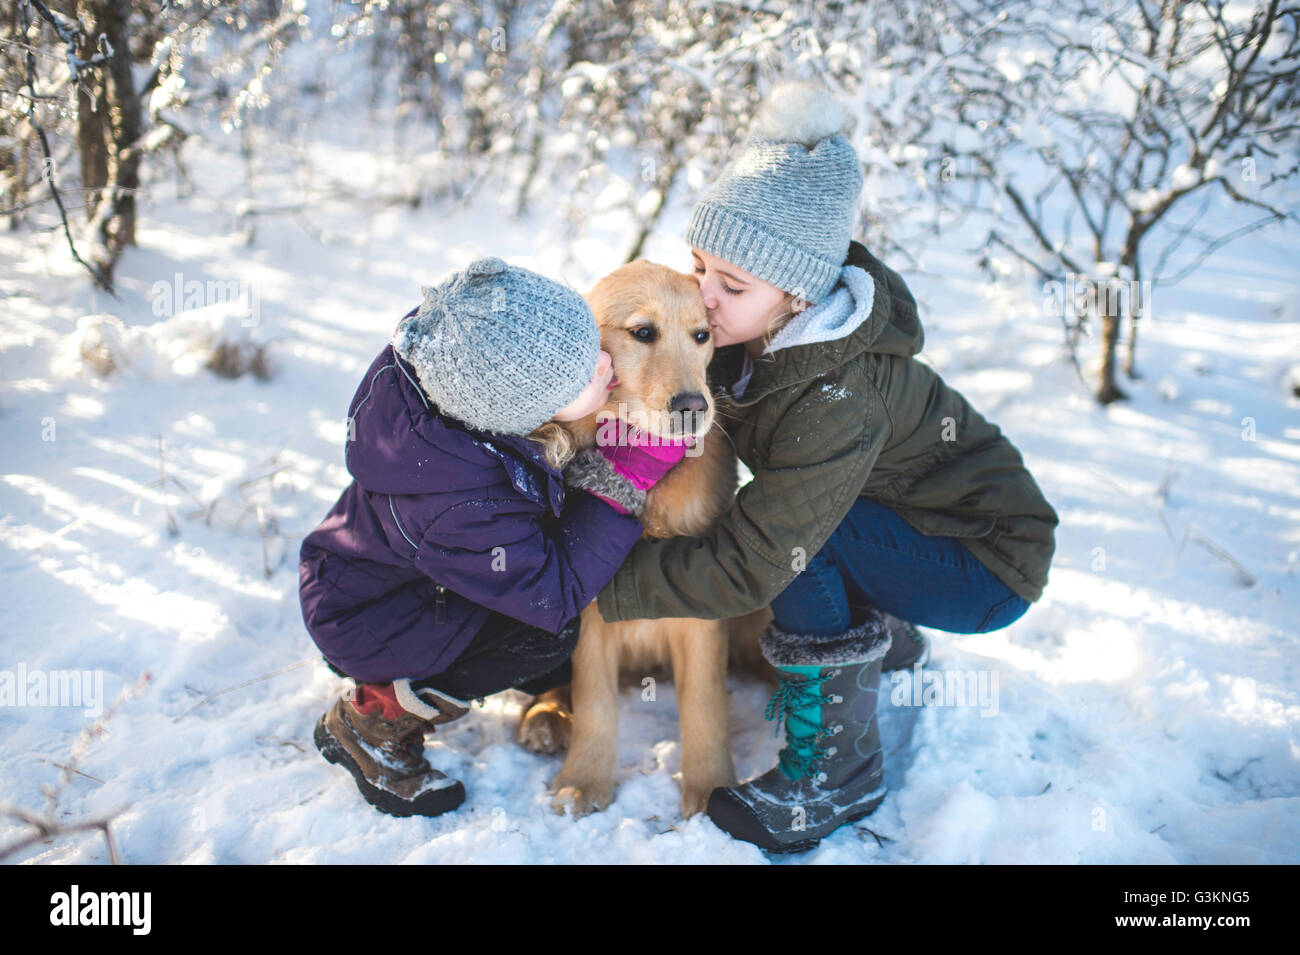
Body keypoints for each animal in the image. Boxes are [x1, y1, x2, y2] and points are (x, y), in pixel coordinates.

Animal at [512, 257, 769, 815]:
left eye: (701, 335)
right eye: (643, 333)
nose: (694, 406)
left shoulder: (704, 599)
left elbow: (703, 707)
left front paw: (710, 789)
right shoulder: (587, 610)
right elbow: (595, 702)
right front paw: (584, 781)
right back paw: (546, 718)